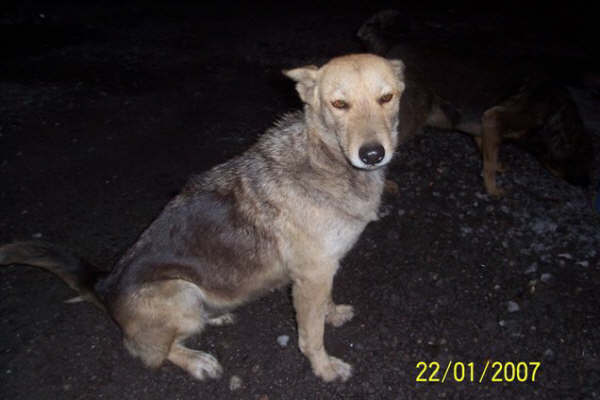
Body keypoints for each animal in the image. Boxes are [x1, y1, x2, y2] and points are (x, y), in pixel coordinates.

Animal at [0, 54, 406, 382]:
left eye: (386, 98)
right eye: (339, 104)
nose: (373, 154)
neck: (324, 159)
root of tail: (104, 285)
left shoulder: (321, 270)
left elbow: (324, 307)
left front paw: (332, 314)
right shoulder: (312, 274)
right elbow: (310, 336)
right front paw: (324, 368)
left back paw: (215, 316)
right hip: (181, 290)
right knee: (148, 352)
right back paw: (196, 360)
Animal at [358, 10, 594, 196]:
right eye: (585, 158)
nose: (587, 185)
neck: (553, 115)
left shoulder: (484, 127)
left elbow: (489, 155)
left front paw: (497, 167)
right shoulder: (496, 117)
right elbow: (488, 165)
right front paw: (493, 190)